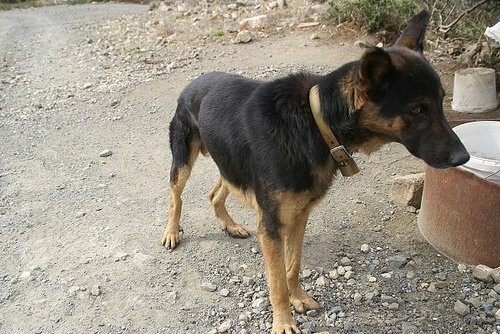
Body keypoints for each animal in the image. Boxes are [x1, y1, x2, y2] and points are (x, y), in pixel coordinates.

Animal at [160, 10, 468, 334]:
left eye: (440, 101)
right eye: (417, 110)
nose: (464, 157)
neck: (315, 123)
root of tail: (194, 82)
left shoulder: (299, 216)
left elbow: (293, 266)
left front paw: (298, 297)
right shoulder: (271, 226)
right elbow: (277, 282)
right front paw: (283, 322)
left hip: (231, 162)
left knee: (216, 192)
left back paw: (231, 225)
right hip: (183, 161)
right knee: (176, 197)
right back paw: (171, 232)